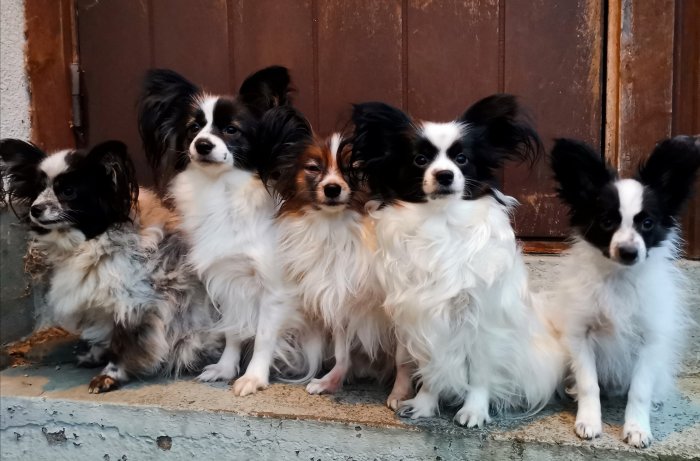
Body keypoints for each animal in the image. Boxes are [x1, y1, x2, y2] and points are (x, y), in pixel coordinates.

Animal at [0, 138, 219, 390]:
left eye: (68, 191)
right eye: (37, 190)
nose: (35, 209)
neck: (92, 242)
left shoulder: (133, 305)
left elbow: (122, 345)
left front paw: (110, 375)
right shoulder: (99, 303)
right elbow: (101, 334)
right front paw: (94, 356)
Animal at [139, 65, 320, 396]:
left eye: (232, 130)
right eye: (194, 128)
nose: (202, 145)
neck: (223, 190)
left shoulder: (274, 289)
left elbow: (263, 335)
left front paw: (254, 377)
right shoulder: (228, 280)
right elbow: (233, 330)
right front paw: (225, 368)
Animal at [254, 106, 394, 394]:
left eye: (353, 169)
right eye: (313, 168)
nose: (332, 188)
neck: (333, 228)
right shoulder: (338, 297)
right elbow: (342, 351)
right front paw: (333, 380)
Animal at [348, 94, 564, 428]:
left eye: (461, 159)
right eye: (420, 160)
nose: (445, 175)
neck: (442, 221)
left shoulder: (481, 317)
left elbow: (479, 372)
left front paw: (474, 410)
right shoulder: (423, 317)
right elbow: (432, 368)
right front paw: (424, 404)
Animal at [548, 135, 700, 444]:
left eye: (648, 223)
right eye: (607, 222)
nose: (629, 252)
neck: (620, 279)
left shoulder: (650, 339)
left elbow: (639, 390)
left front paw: (637, 428)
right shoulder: (580, 335)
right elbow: (589, 384)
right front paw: (589, 421)